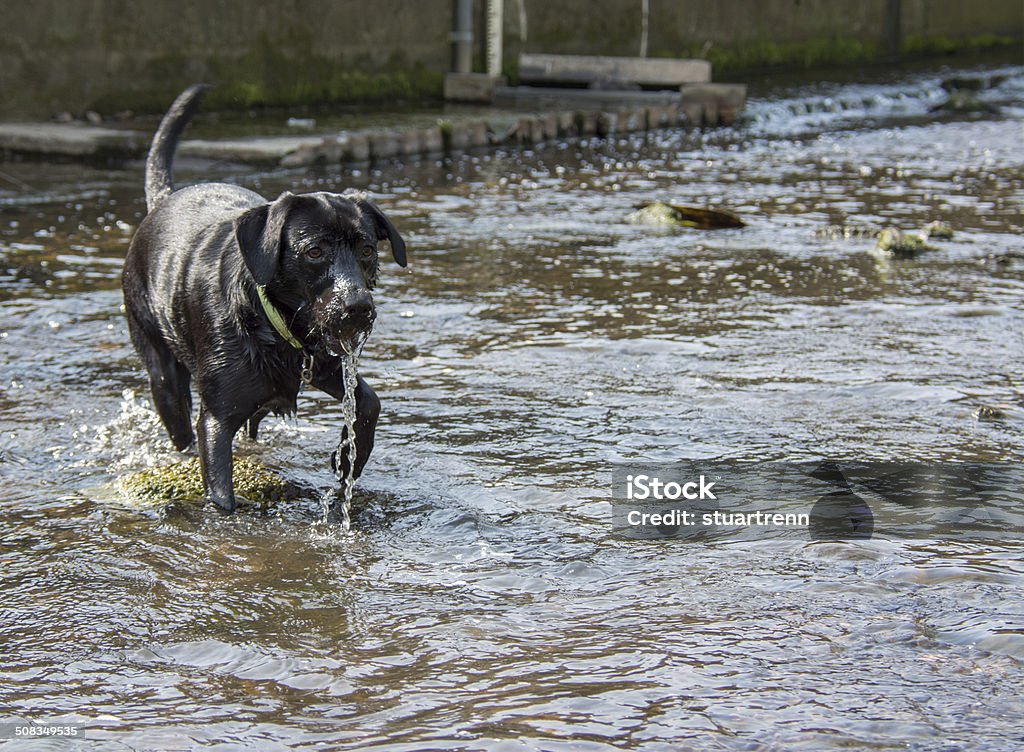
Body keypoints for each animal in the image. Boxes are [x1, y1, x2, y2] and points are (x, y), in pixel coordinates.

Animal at [120, 85, 403, 516]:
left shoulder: (321, 363)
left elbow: (369, 403)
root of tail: (163, 200)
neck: (276, 325)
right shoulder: (216, 419)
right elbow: (221, 493)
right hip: (162, 373)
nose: (358, 308)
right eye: (314, 251)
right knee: (178, 423)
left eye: (367, 250)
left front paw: (346, 458)